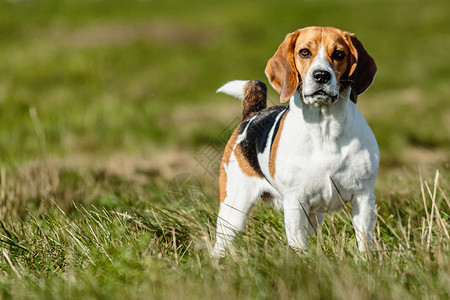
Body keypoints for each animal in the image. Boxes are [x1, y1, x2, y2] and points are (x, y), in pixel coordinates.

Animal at [214, 27, 380, 255]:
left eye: (339, 54)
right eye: (304, 52)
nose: (321, 75)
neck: (324, 129)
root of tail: (252, 114)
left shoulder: (363, 198)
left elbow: (364, 242)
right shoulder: (295, 202)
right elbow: (298, 246)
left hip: (313, 218)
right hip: (233, 211)